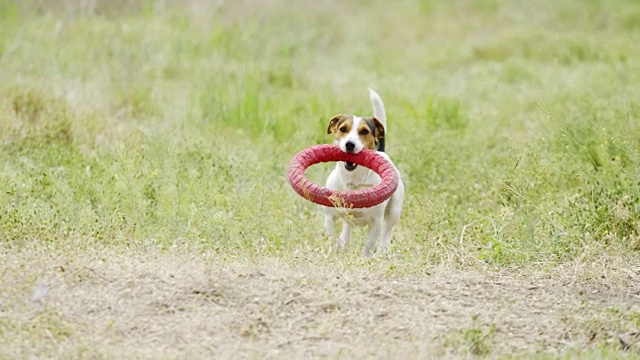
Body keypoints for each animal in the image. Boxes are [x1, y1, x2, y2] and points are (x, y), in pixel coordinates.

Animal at [324, 87, 404, 258]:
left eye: (364, 131)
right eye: (342, 129)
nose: (349, 144)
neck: (354, 180)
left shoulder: (376, 222)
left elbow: (369, 245)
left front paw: (364, 259)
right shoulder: (330, 216)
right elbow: (332, 237)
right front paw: (335, 253)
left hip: (394, 210)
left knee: (387, 232)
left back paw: (382, 251)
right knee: (347, 229)